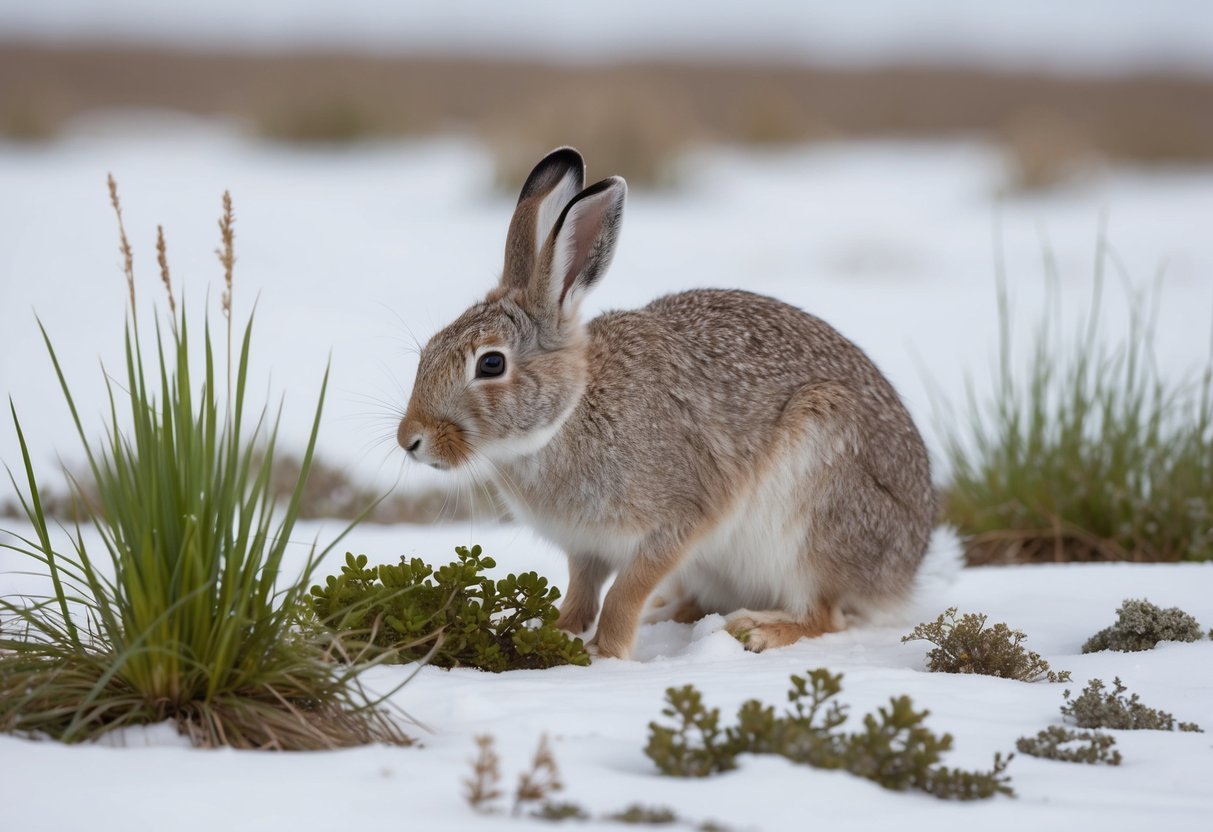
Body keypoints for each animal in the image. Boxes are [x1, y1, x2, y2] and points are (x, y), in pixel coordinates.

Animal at [397, 147, 935, 659]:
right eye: (430, 348)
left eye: (490, 364)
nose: (410, 440)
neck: (570, 414)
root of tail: (906, 568)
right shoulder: (585, 549)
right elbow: (582, 591)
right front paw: (558, 632)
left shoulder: (678, 520)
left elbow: (625, 592)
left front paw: (605, 654)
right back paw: (671, 614)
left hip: (816, 514)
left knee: (825, 613)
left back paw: (757, 630)